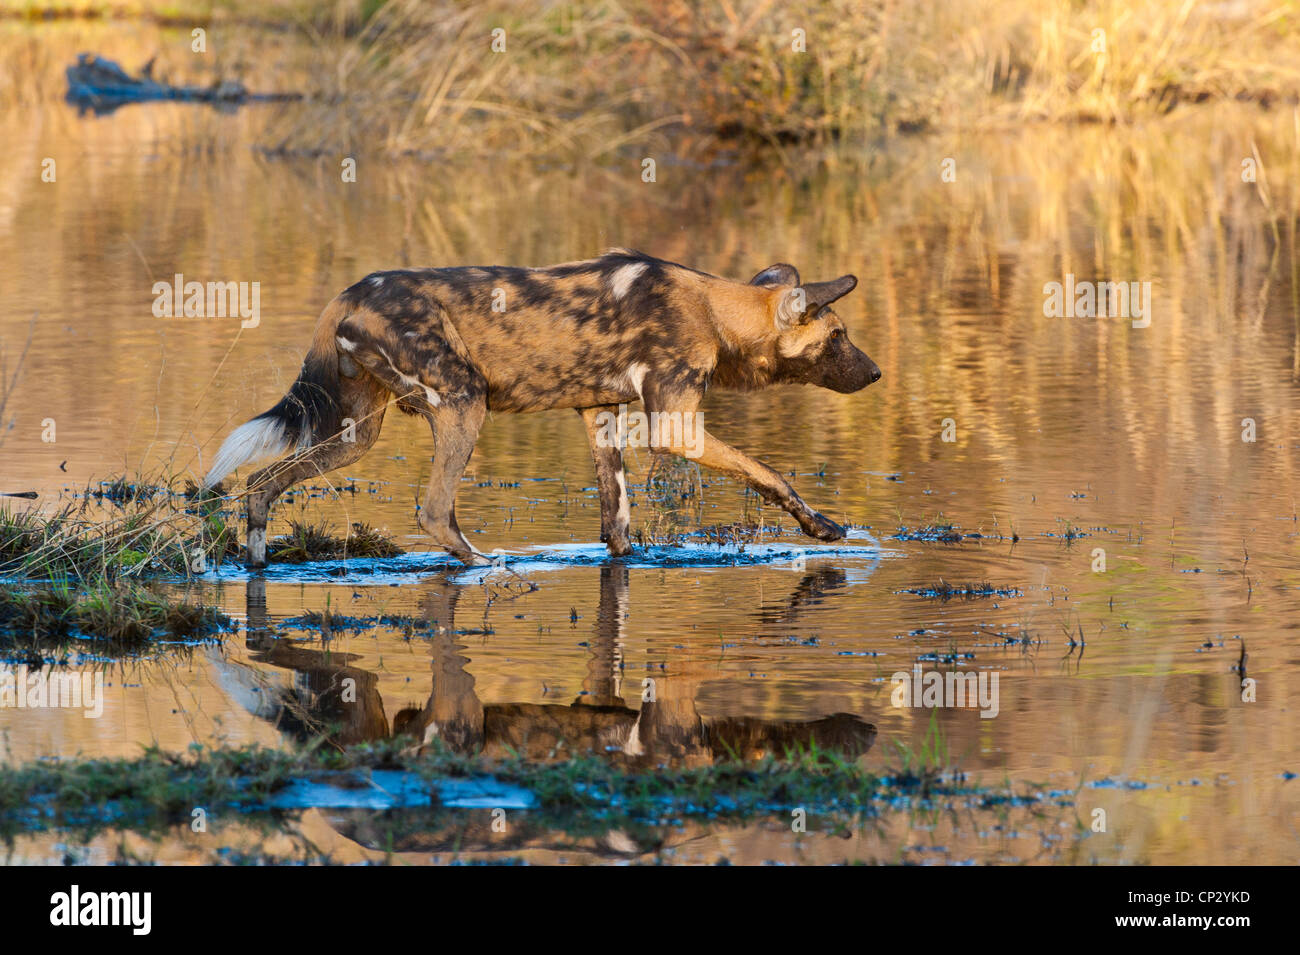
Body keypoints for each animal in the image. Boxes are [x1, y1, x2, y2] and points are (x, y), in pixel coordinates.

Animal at [205, 252, 883, 566]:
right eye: (841, 336)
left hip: (355, 436)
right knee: (434, 510)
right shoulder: (678, 431)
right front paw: (823, 527)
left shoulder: (601, 416)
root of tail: (347, 294)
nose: (877, 373)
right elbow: (771, 473)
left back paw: (257, 561)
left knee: (262, 485)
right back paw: (482, 564)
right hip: (463, 401)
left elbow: (617, 523)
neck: (717, 311)